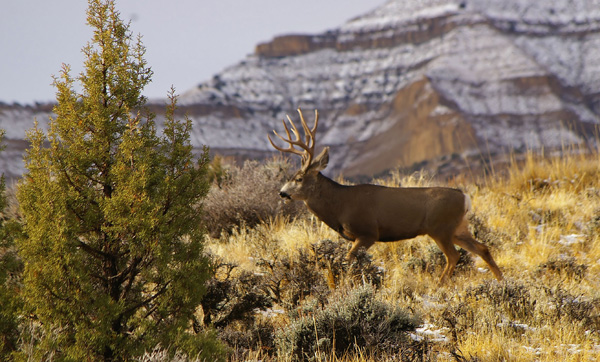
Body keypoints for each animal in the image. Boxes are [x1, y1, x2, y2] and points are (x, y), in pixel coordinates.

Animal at [270, 109, 504, 284]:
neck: (340, 205)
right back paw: (502, 281)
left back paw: (440, 285)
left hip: (440, 227)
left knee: (454, 255)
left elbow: (348, 260)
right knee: (482, 248)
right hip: (458, 227)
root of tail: (465, 197)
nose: (282, 192)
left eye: (299, 178)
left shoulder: (367, 232)